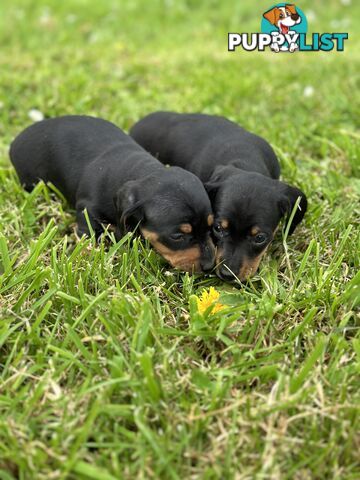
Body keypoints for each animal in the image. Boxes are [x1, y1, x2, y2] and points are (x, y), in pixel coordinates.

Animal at [9, 115, 215, 272]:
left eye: (211, 228)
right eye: (177, 236)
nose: (209, 267)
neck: (142, 171)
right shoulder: (87, 209)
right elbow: (88, 234)